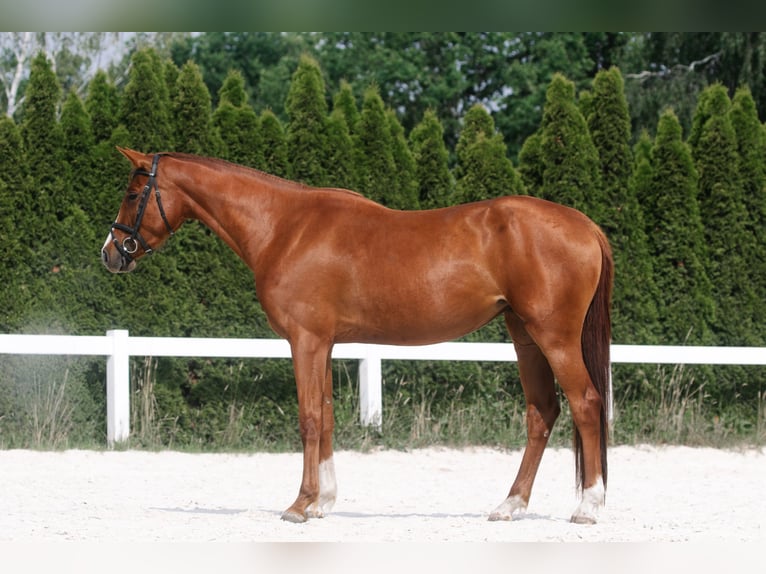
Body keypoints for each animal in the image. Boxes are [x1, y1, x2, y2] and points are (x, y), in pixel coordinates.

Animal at [102, 148, 613, 524]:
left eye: (133, 192)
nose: (111, 253)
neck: (285, 227)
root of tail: (585, 224)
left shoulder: (305, 340)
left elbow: (309, 418)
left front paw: (299, 505)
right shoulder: (323, 343)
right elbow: (327, 416)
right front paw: (323, 501)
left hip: (554, 337)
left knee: (586, 403)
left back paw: (588, 507)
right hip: (524, 336)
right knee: (541, 413)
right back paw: (510, 506)